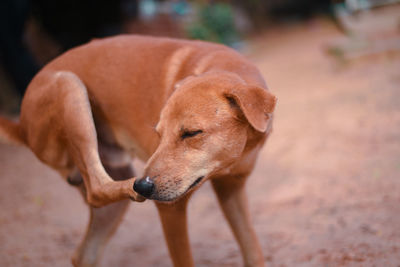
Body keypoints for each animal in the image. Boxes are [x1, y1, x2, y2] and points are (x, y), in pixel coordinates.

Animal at [0, 36, 276, 267]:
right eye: (159, 133)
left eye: (191, 133)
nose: (144, 186)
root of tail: (22, 125)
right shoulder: (171, 208)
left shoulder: (232, 188)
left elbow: (253, 251)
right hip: (69, 86)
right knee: (97, 190)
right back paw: (127, 187)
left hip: (112, 202)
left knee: (83, 253)